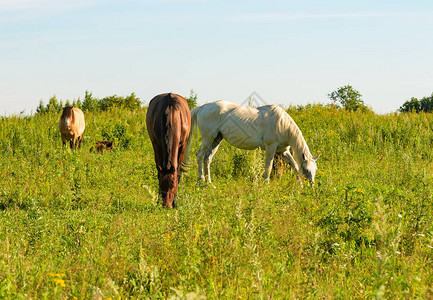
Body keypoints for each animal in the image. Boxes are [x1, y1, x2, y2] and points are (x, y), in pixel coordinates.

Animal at [189, 101, 318, 183]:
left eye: (315, 169)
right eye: (307, 170)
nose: (311, 185)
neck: (282, 124)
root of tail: (203, 107)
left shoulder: (283, 152)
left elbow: (295, 166)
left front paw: (299, 186)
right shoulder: (270, 148)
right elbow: (268, 167)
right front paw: (266, 185)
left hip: (216, 139)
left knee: (207, 157)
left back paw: (210, 183)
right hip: (208, 139)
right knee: (200, 155)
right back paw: (201, 180)